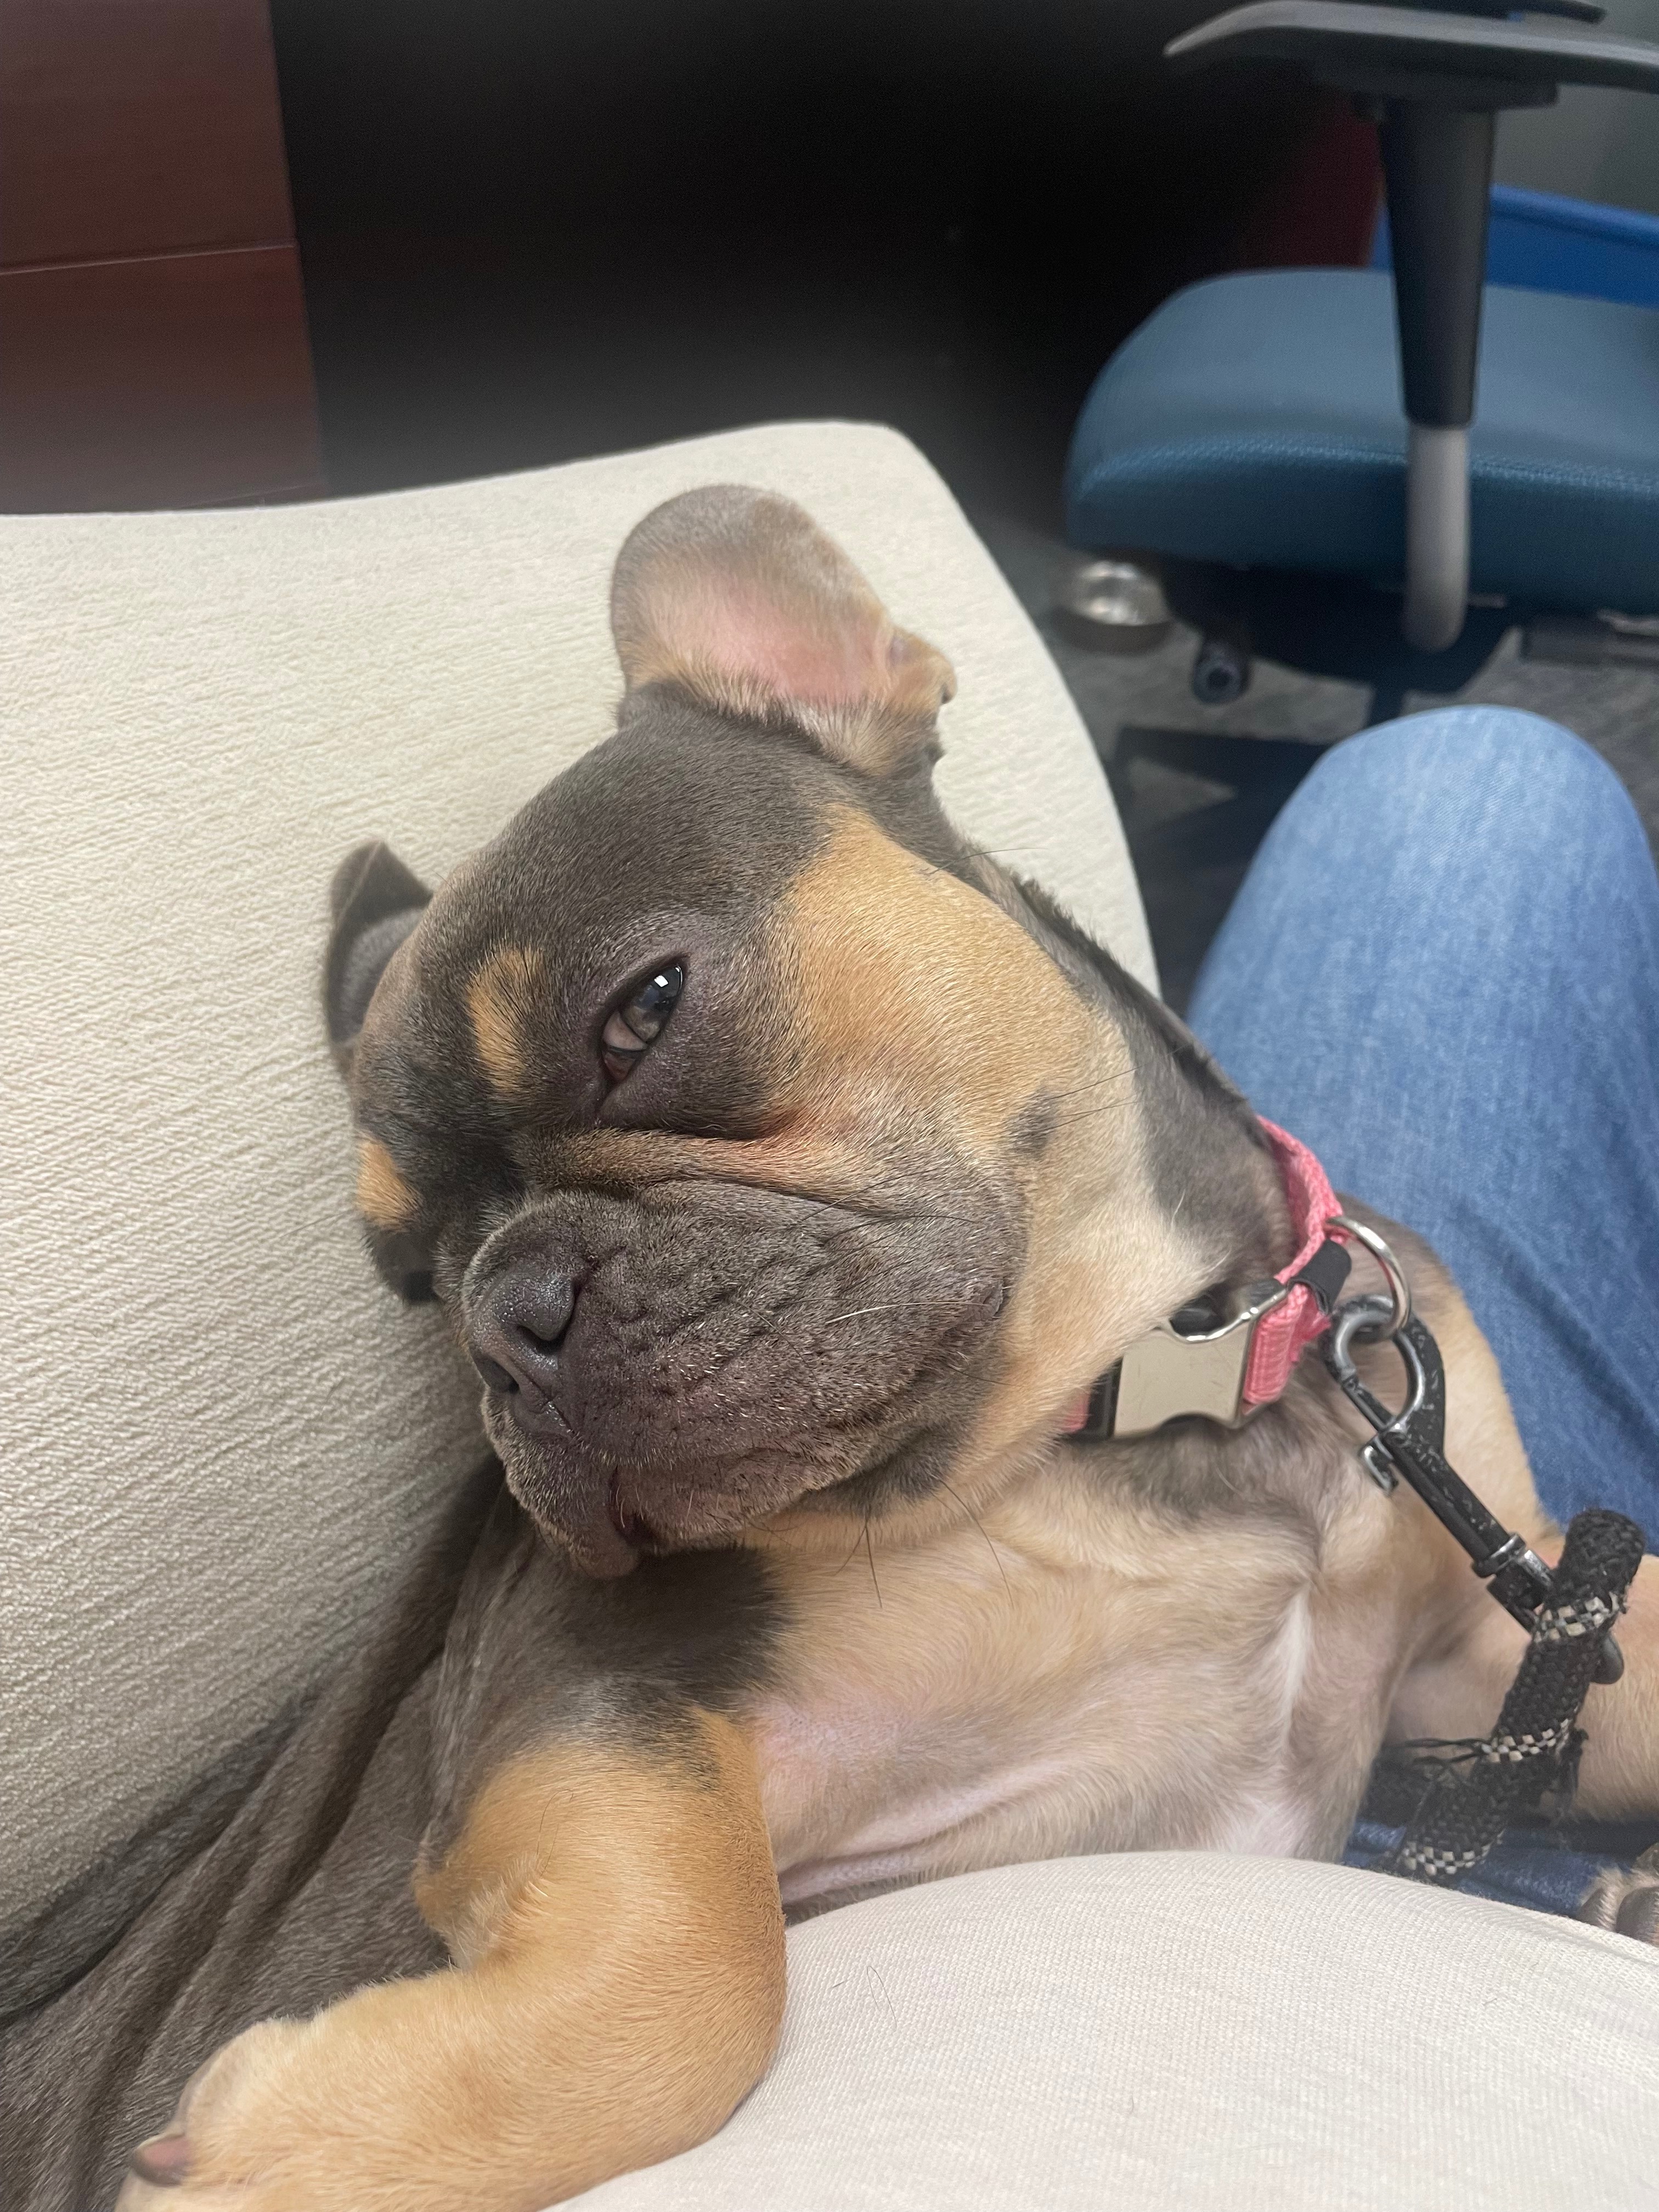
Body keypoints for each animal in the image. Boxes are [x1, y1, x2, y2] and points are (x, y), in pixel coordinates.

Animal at [6, 487, 1655, 2212]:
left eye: (642, 1011)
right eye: (410, 1280)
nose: (500, 1319)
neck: (1148, 1401)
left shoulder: (1500, 1634)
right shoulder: (610, 1698)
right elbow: (705, 1947)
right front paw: (311, 2152)